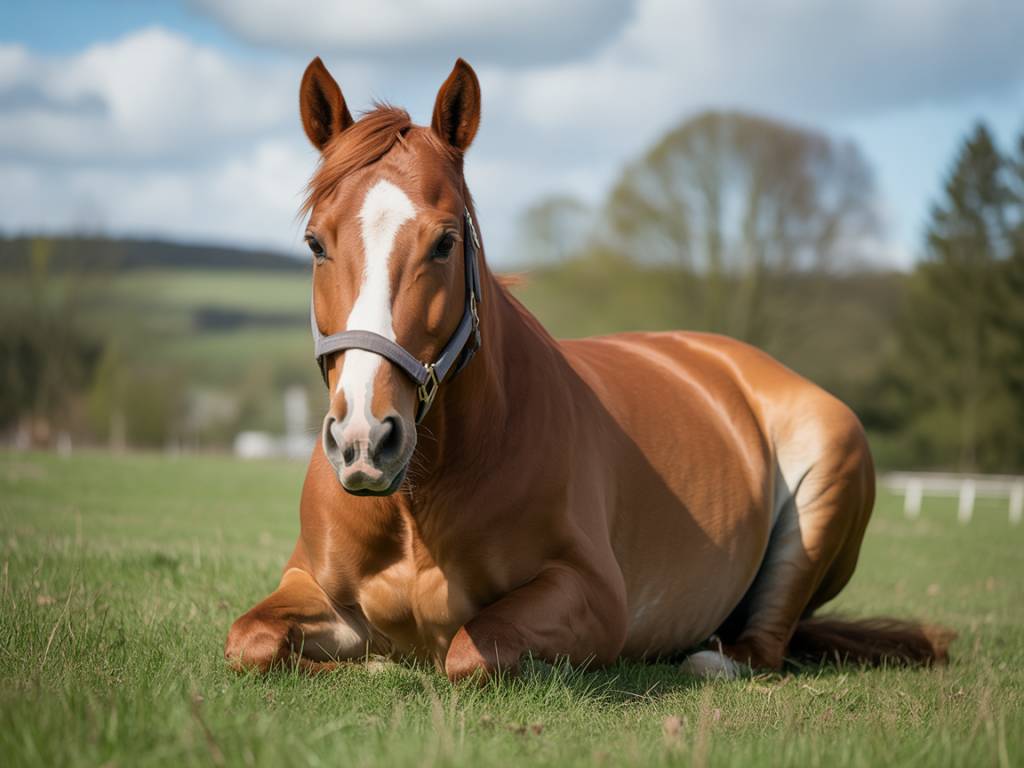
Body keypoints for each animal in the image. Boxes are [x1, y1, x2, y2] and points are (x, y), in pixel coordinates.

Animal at [225, 57, 953, 681]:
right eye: (316, 243)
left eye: (445, 242)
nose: (364, 441)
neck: (418, 503)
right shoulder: (308, 583)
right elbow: (248, 639)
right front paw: (372, 661)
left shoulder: (595, 599)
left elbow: (470, 651)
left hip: (826, 486)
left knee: (764, 644)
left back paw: (710, 657)